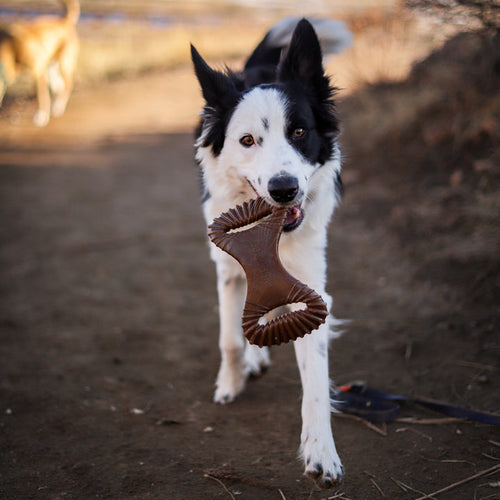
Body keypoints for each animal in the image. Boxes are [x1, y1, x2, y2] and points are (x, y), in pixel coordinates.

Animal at [191, 17, 352, 486]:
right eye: (247, 140)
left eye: (299, 131)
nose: (284, 189)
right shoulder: (227, 266)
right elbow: (229, 337)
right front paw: (230, 383)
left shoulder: (312, 281)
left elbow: (314, 377)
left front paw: (321, 450)